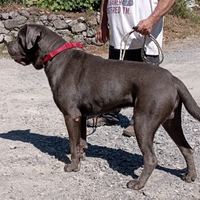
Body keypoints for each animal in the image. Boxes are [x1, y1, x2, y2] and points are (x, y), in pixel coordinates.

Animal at [7, 24, 199, 190]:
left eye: (18, 38)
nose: (7, 44)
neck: (54, 55)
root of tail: (173, 79)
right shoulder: (81, 116)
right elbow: (81, 141)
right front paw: (82, 159)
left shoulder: (70, 115)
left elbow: (72, 144)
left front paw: (72, 166)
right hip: (171, 121)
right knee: (187, 149)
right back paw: (190, 176)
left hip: (144, 121)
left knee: (151, 158)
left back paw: (137, 184)